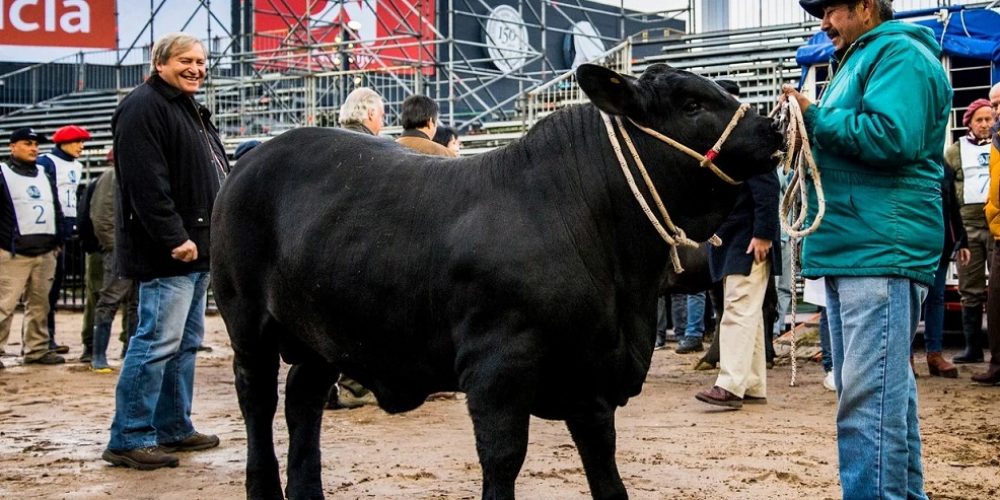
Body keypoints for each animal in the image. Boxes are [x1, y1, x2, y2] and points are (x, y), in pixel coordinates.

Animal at [213, 63, 780, 500]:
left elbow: (606, 470)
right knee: (258, 403)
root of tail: (253, 158)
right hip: (248, 325)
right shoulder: (497, 372)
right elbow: (503, 460)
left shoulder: (592, 376)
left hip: (320, 335)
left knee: (302, 402)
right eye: (691, 103)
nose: (773, 125)